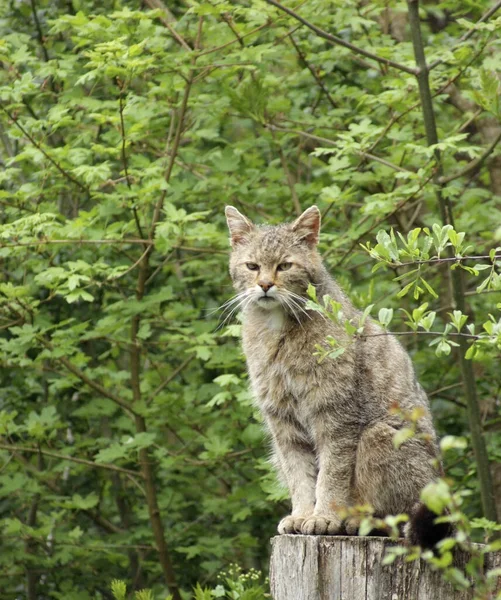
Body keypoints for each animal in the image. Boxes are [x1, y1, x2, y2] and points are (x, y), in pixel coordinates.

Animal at [225, 204, 448, 548]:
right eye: (252, 266)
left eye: (284, 265)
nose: (264, 285)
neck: (276, 329)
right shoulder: (284, 424)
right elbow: (300, 475)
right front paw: (303, 514)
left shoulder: (336, 416)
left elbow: (332, 474)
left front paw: (324, 517)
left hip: (379, 436)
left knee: (399, 521)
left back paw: (358, 522)